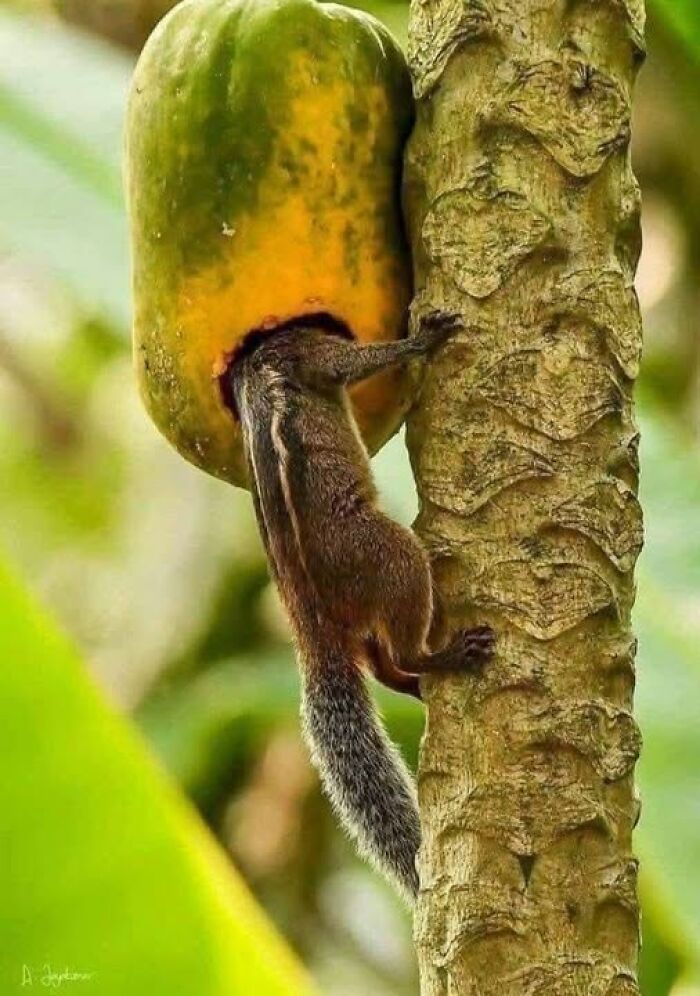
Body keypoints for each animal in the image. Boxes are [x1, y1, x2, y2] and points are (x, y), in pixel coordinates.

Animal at [228, 317, 494, 902]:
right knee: (402, 649)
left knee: (383, 667)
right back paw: (448, 657)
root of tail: (311, 632)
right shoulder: (314, 353)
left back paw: (416, 683)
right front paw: (423, 339)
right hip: (393, 556)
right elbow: (358, 363)